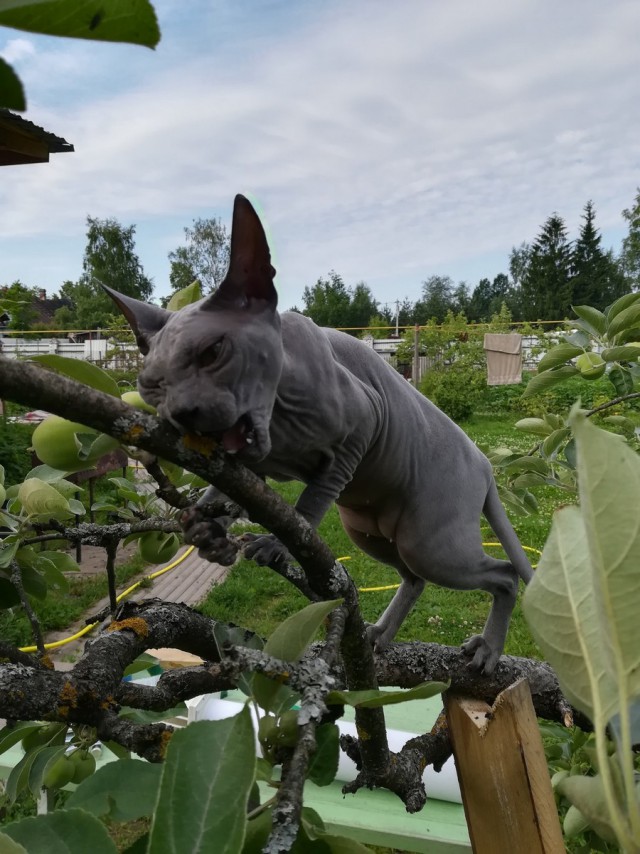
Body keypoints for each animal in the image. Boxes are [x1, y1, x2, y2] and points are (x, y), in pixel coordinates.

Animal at [106, 196, 536, 676]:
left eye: (214, 351)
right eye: (150, 387)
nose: (181, 413)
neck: (278, 424)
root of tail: (484, 464)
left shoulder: (366, 421)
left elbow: (312, 499)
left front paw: (278, 542)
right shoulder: (250, 464)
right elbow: (229, 488)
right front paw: (206, 527)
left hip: (430, 541)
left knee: (503, 574)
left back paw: (488, 649)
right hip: (369, 532)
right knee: (414, 577)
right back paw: (379, 635)